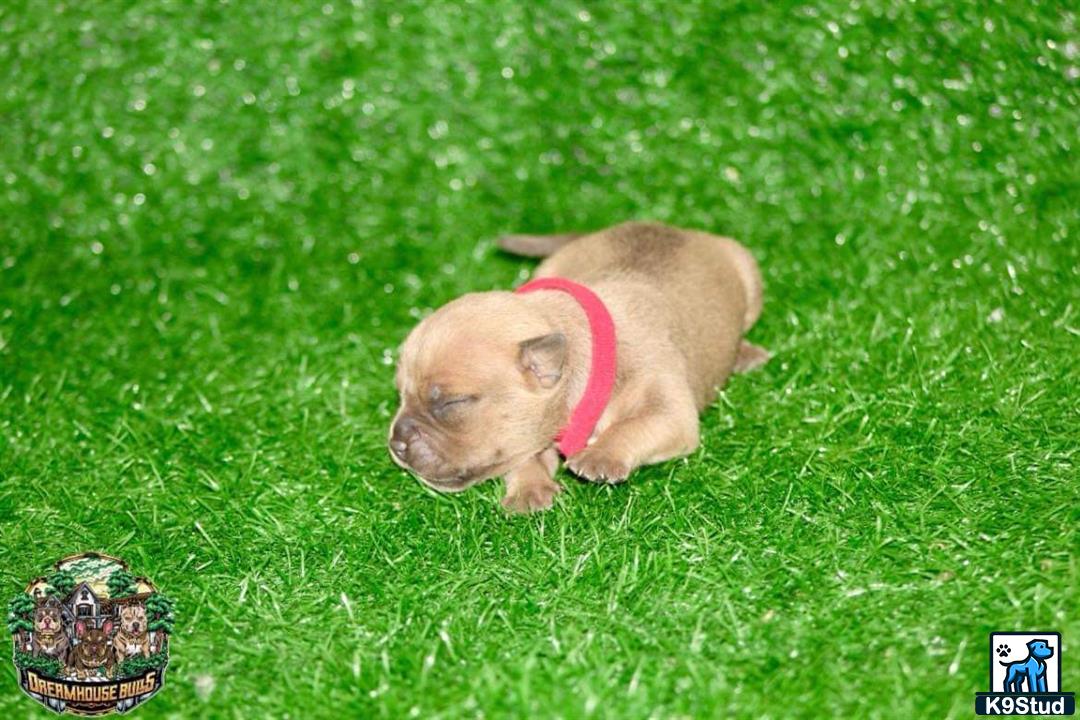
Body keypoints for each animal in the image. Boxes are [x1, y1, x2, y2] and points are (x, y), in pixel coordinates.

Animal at [388, 221, 768, 511]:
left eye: (453, 403)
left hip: (747, 272)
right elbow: (524, 458)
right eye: (400, 395)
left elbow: (635, 426)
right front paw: (529, 489)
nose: (396, 444)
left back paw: (745, 353)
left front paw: (600, 455)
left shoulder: (669, 411)